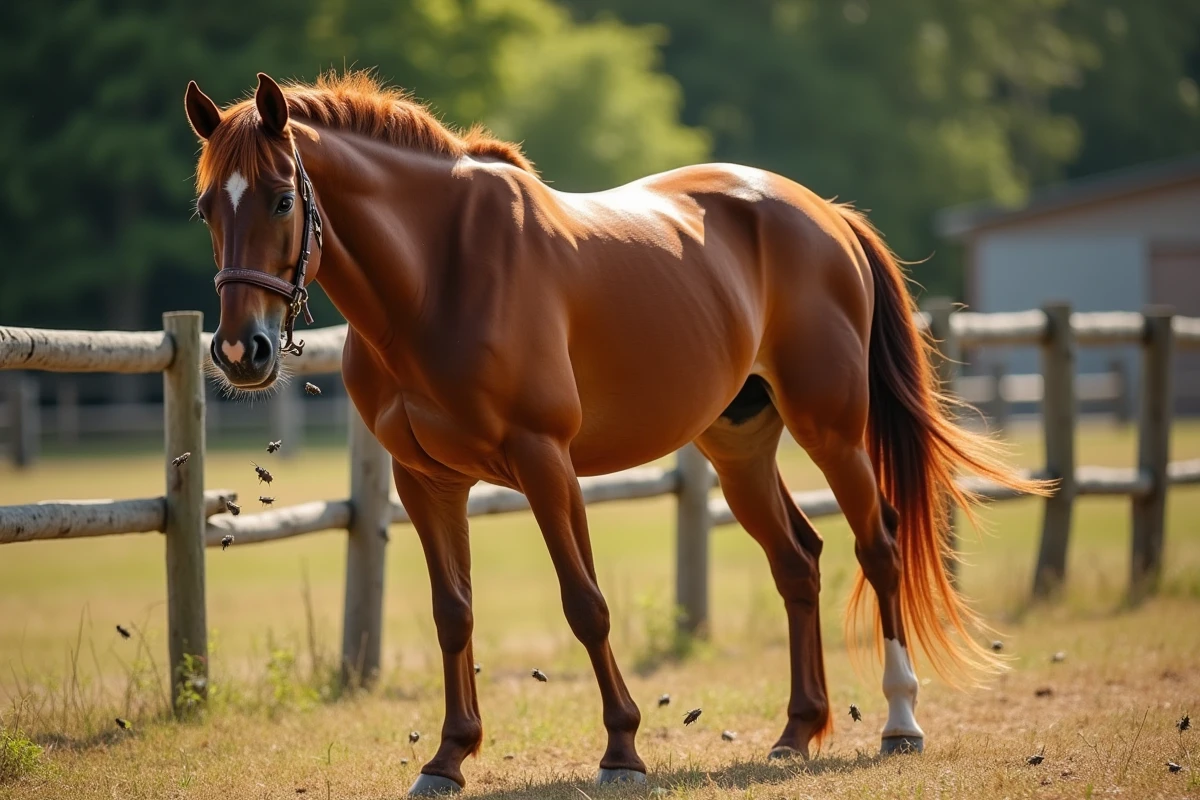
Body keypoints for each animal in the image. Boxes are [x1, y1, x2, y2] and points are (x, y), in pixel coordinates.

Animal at [186, 71, 1043, 796]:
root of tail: (825, 214)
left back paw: (901, 721)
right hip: (739, 448)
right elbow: (452, 613)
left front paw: (622, 751)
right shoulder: (424, 480)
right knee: (798, 563)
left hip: (830, 428)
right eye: (206, 209)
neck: (439, 274)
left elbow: (585, 604)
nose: (238, 351)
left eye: (279, 199)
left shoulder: (544, 461)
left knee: (880, 545)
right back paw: (796, 734)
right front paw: (448, 758)